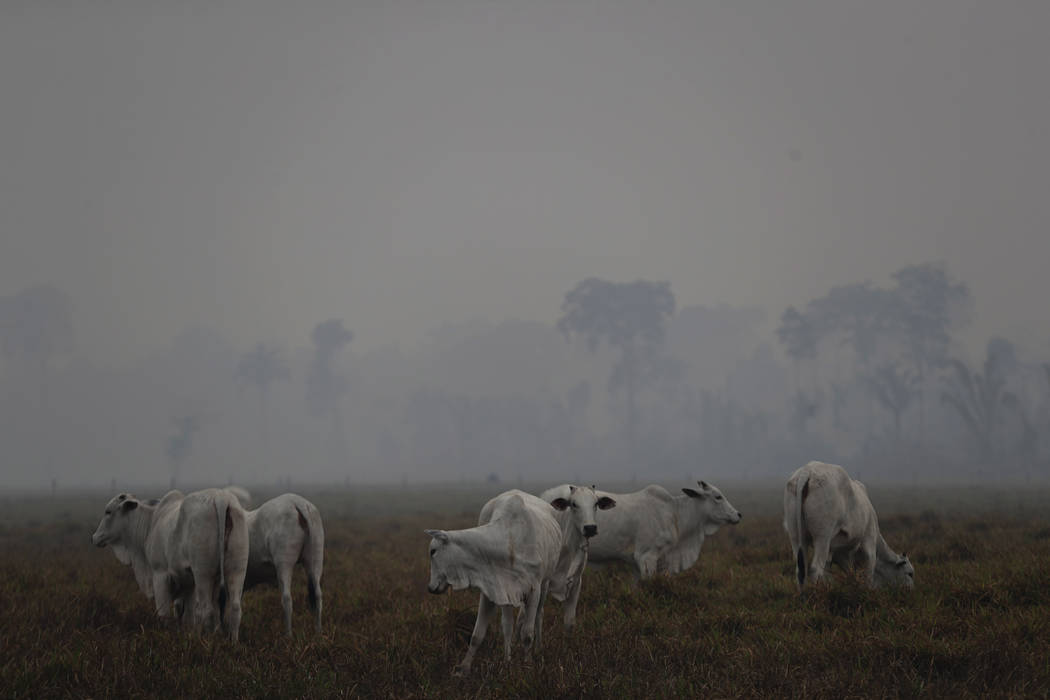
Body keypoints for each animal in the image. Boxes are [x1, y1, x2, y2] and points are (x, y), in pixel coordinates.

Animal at [88, 491, 247, 642]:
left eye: (108, 511)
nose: (94, 537)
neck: (150, 523)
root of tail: (221, 498)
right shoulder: (189, 583)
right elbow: (188, 616)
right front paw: (188, 635)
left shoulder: (160, 575)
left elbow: (164, 614)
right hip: (237, 570)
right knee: (235, 609)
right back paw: (232, 642)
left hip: (203, 573)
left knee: (207, 610)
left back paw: (206, 641)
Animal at [240, 493, 325, 633]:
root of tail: (298, 503)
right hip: (315, 559)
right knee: (317, 596)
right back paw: (318, 632)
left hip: (284, 563)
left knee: (287, 599)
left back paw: (288, 634)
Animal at [422, 491, 562, 675]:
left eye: (433, 551)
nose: (430, 588)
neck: (510, 541)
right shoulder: (493, 589)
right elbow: (478, 634)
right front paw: (464, 668)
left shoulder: (534, 590)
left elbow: (527, 634)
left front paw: (527, 666)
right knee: (508, 625)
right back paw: (508, 658)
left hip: (545, 584)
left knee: (539, 615)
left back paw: (538, 649)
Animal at [785, 459, 915, 591]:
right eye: (910, 573)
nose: (911, 590)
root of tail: (808, 471)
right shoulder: (869, 543)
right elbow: (868, 574)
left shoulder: (838, 553)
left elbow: (843, 572)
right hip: (822, 538)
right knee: (815, 569)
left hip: (796, 537)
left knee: (800, 570)